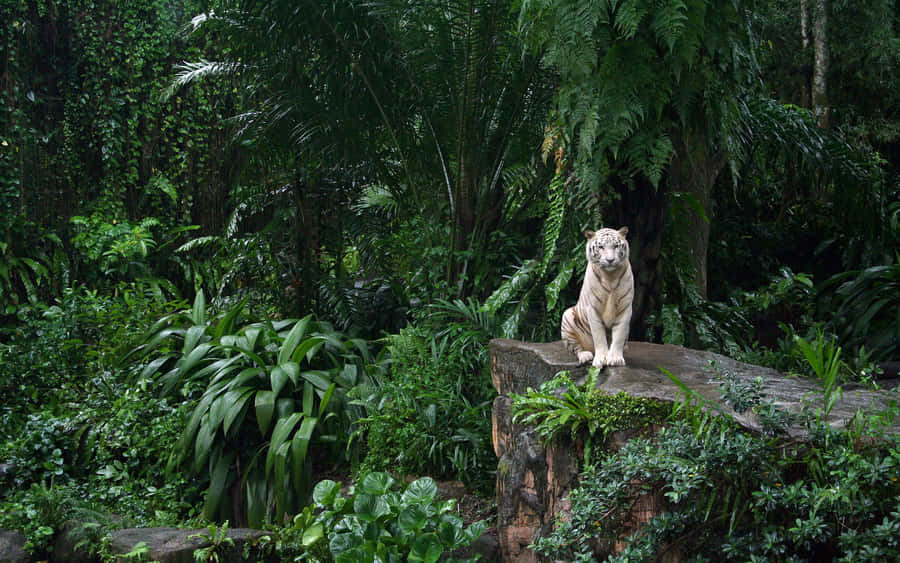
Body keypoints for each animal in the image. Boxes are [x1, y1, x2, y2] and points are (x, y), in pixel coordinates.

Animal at [560, 227, 634, 367]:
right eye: (601, 247)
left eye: (616, 246)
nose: (610, 260)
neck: (610, 277)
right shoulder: (592, 308)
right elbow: (598, 335)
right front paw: (601, 359)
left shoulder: (625, 308)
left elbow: (619, 335)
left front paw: (615, 358)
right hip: (567, 316)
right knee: (575, 348)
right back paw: (585, 356)